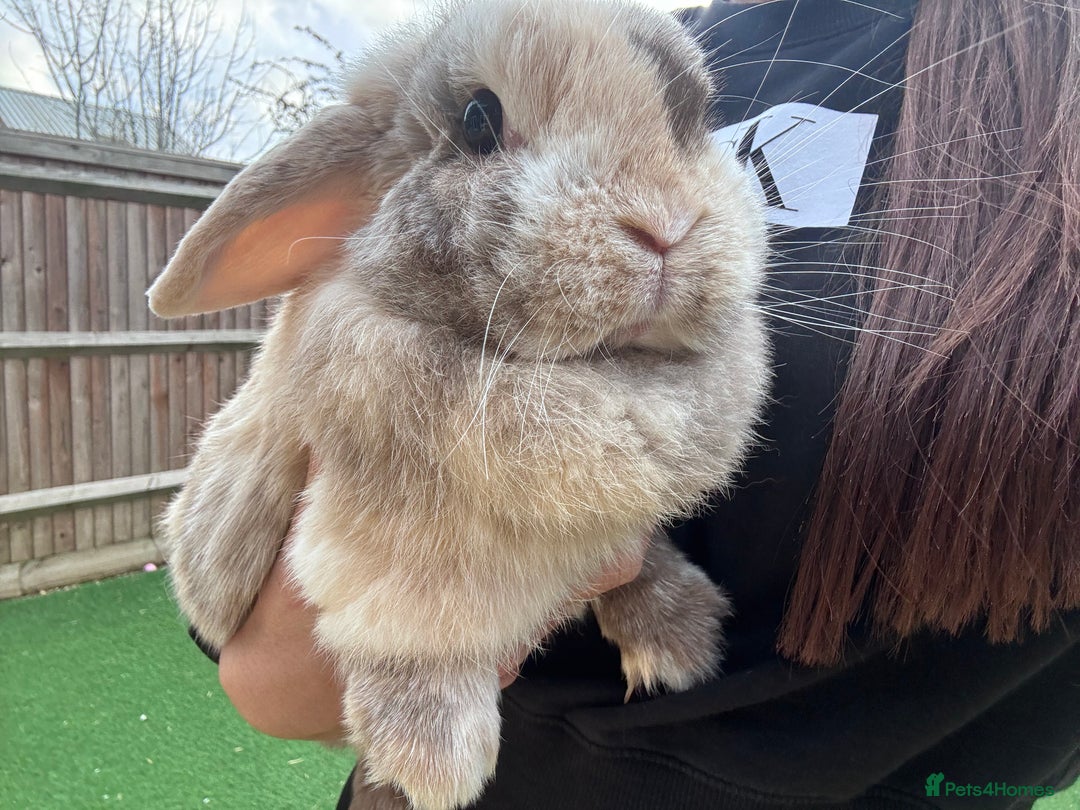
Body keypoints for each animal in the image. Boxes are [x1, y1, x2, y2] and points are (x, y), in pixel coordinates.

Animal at [146, 0, 770, 808]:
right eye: (478, 119)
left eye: (688, 115)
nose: (664, 225)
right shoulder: (375, 535)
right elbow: (412, 625)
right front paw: (432, 755)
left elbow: (638, 561)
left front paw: (680, 638)